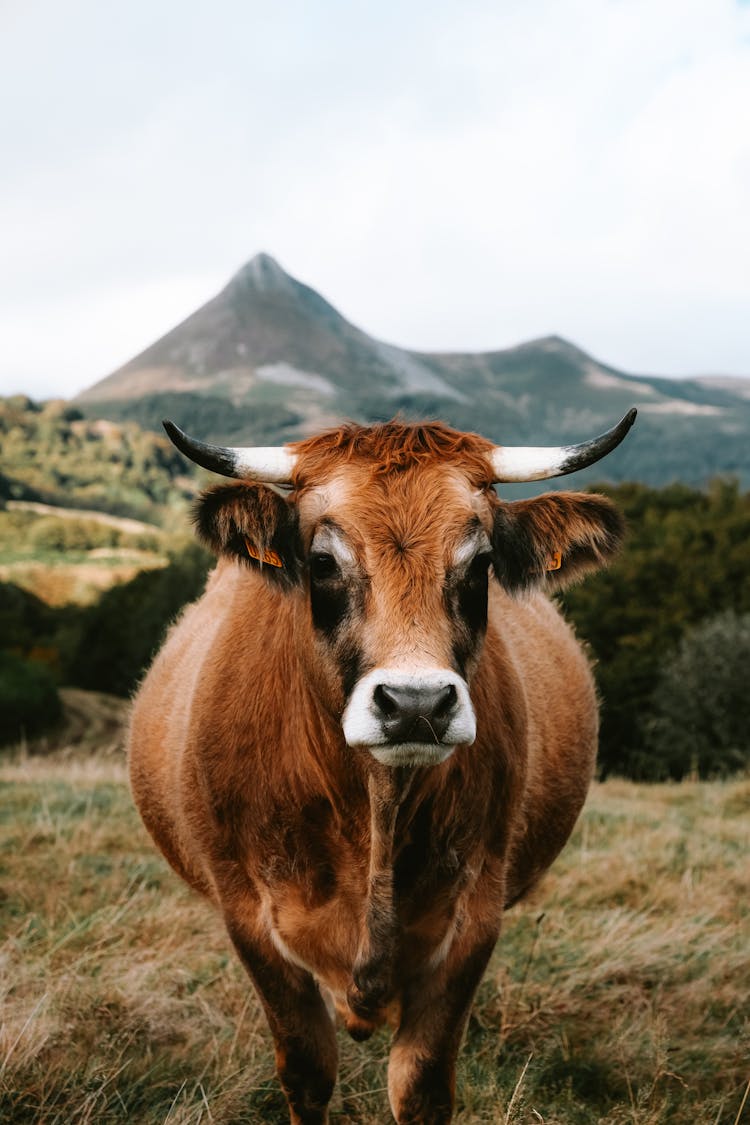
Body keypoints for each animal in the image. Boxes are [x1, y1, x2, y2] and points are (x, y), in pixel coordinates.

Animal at [127, 414, 634, 1125]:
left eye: (480, 564)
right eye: (321, 562)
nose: (416, 704)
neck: (374, 808)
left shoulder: (473, 919)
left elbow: (420, 1084)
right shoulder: (249, 920)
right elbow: (307, 1071)